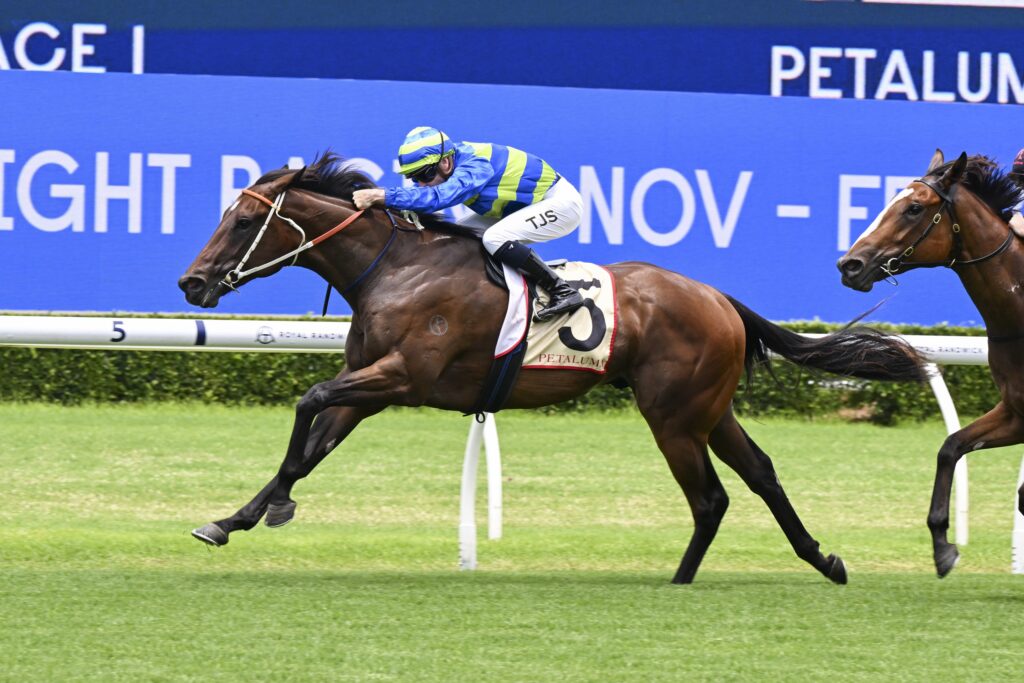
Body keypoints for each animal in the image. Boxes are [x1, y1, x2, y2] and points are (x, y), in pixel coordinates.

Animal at [179, 152, 927, 584]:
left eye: (242, 221)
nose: (193, 283)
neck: (397, 268)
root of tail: (718, 297)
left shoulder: (404, 376)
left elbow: (307, 400)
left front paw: (271, 507)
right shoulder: (371, 388)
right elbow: (311, 447)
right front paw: (236, 517)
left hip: (673, 414)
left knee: (711, 497)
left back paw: (681, 580)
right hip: (709, 409)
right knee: (763, 474)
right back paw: (824, 560)